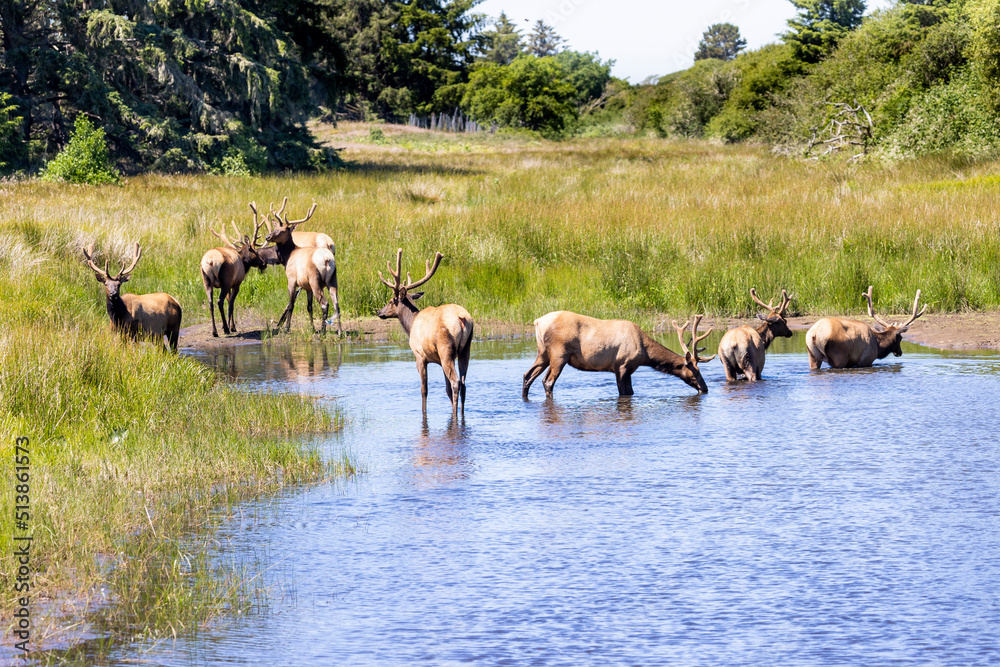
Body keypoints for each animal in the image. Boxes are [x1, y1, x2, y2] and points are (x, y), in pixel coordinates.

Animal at [200, 209, 266, 337]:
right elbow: (231, 304)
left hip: (207, 280)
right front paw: (232, 327)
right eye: (255, 251)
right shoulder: (236, 283)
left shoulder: (229, 285)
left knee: (210, 303)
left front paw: (230, 325)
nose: (264, 263)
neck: (244, 264)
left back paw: (215, 331)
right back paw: (226, 329)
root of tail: (210, 260)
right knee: (219, 301)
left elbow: (229, 300)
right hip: (225, 280)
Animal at [263, 199, 341, 335]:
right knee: (336, 304)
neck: (288, 256)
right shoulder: (307, 287)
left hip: (315, 280)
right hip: (332, 279)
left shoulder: (291, 280)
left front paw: (286, 328)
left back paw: (323, 330)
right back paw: (340, 332)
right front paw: (312, 328)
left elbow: (291, 304)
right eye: (275, 227)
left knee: (325, 303)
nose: (268, 237)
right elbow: (309, 307)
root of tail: (327, 259)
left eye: (283, 230)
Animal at [377, 248, 474, 414]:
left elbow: (424, 389)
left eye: (390, 301)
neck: (410, 324)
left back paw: (454, 414)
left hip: (445, 348)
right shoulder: (438, 360)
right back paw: (460, 412)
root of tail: (462, 318)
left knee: (456, 382)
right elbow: (446, 389)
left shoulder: (419, 355)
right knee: (463, 383)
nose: (379, 312)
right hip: (465, 348)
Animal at [522, 312, 715, 398]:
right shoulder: (621, 366)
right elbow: (625, 393)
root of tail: (538, 321)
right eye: (696, 371)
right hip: (559, 353)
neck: (645, 354)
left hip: (543, 353)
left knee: (527, 375)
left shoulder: (628, 370)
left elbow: (630, 392)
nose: (705, 388)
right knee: (547, 381)